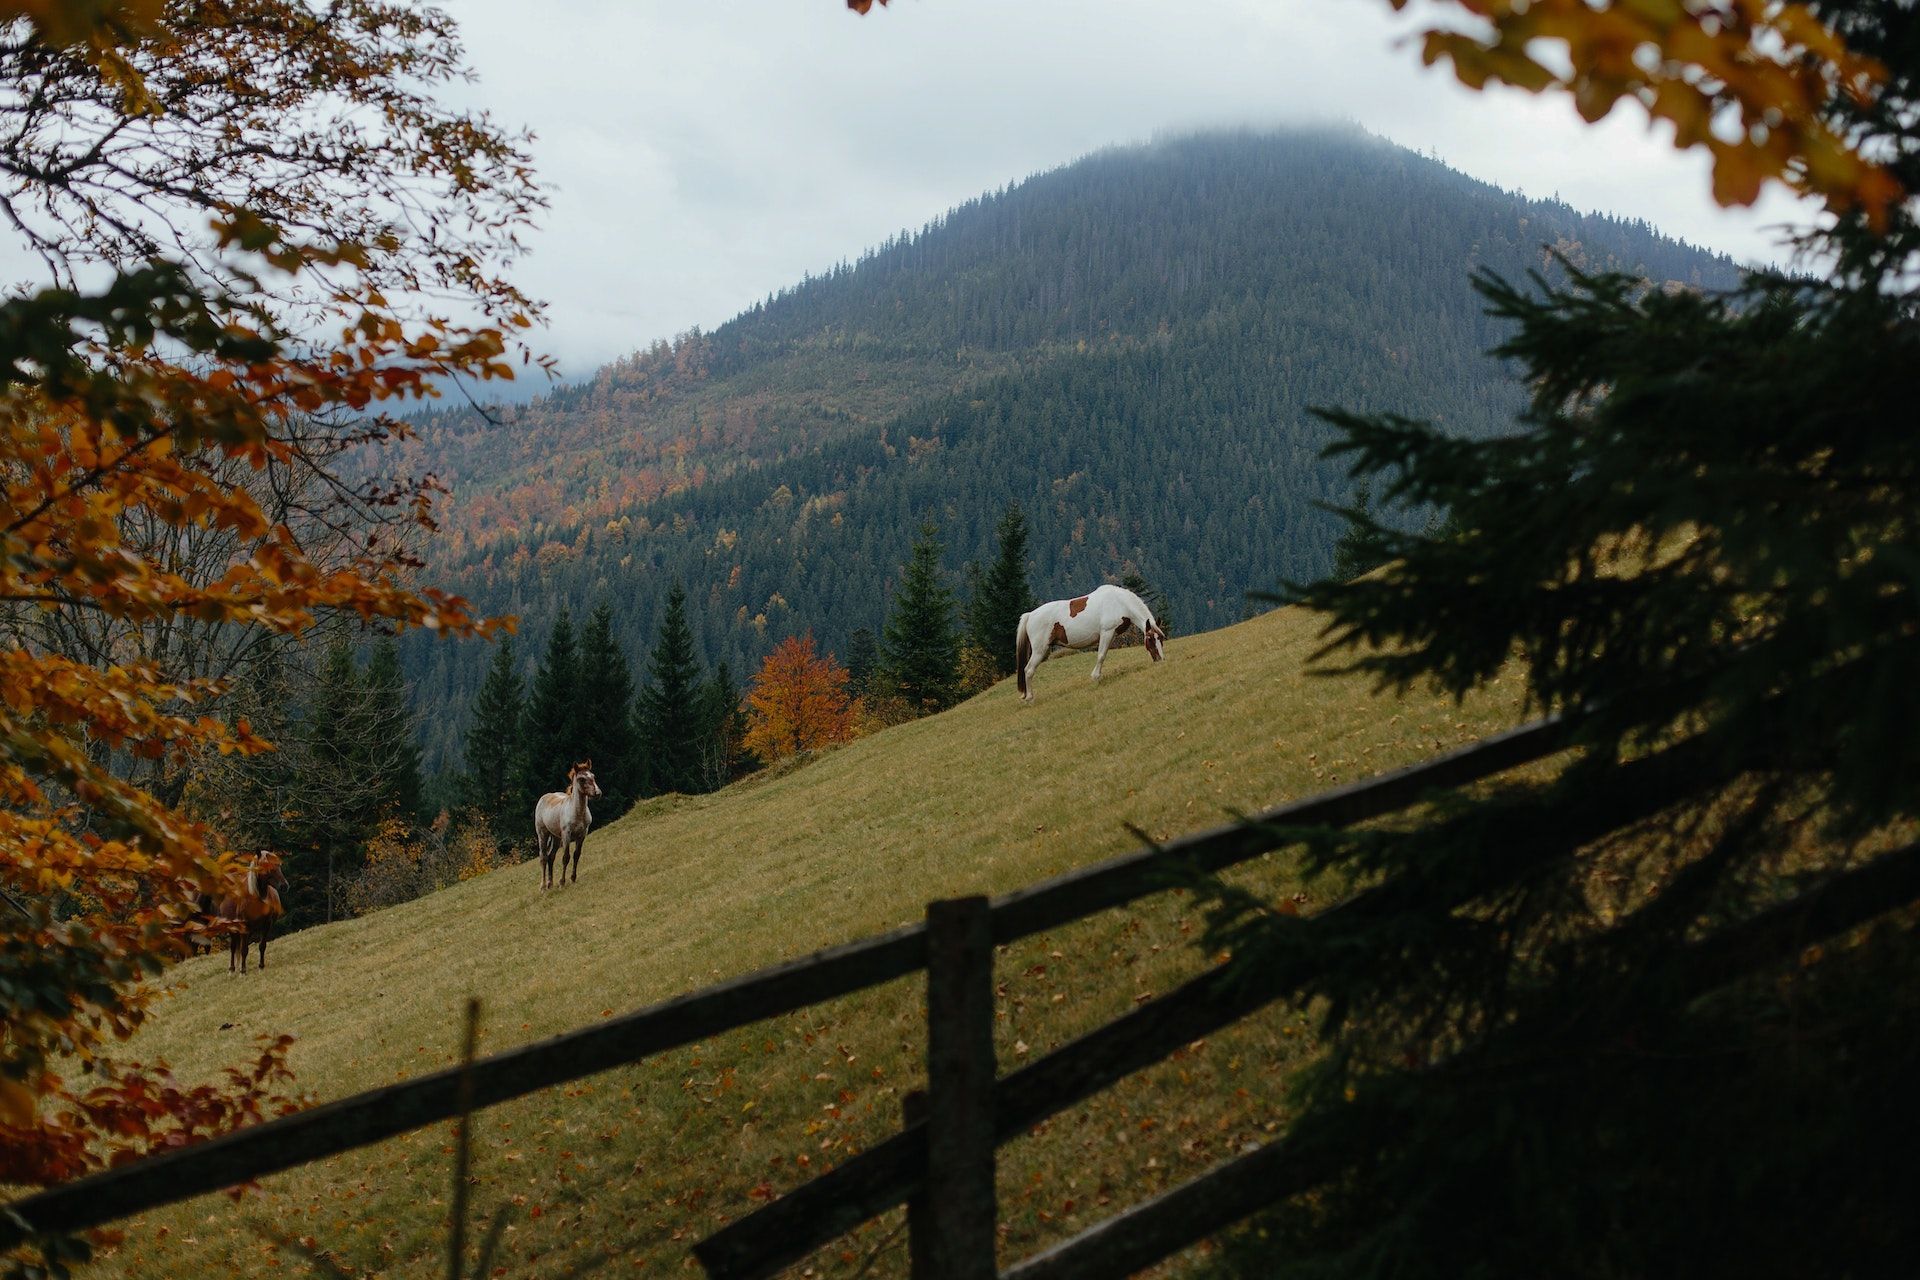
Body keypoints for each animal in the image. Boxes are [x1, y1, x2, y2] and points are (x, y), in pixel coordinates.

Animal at [533, 759, 599, 890]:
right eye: (581, 779)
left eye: (593, 776)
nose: (598, 793)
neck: (577, 813)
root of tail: (544, 797)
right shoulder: (566, 835)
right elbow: (566, 857)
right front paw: (562, 882)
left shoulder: (582, 835)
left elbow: (576, 855)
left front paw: (573, 878)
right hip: (543, 834)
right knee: (543, 857)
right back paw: (543, 887)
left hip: (556, 837)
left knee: (551, 857)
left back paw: (550, 884)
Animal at [1013, 579, 1159, 702]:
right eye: (1150, 640)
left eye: (1160, 639)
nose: (1159, 659)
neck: (1118, 602)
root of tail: (1030, 615)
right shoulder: (1107, 632)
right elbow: (1101, 656)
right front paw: (1096, 677)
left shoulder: (1109, 635)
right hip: (1039, 650)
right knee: (1028, 670)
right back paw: (1030, 698)